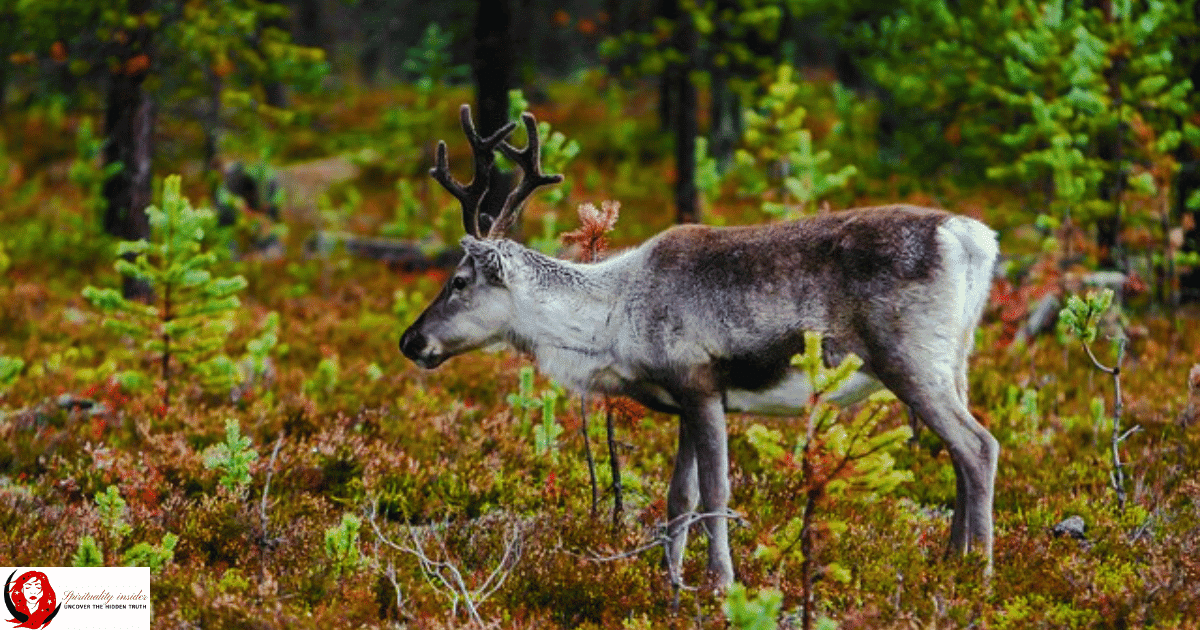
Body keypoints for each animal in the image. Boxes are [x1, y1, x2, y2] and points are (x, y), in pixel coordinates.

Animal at [400, 104, 1000, 592]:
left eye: (459, 280)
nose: (410, 340)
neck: (614, 318)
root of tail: (974, 238)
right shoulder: (684, 401)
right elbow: (678, 500)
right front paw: (670, 583)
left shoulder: (702, 385)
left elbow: (716, 493)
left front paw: (719, 584)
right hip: (956, 360)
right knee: (959, 451)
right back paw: (950, 563)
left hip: (910, 359)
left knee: (978, 446)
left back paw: (979, 573)